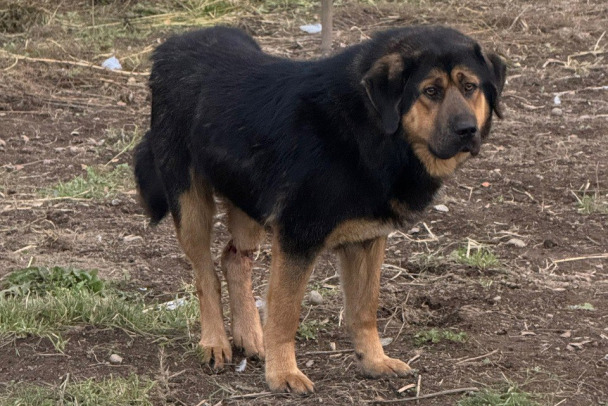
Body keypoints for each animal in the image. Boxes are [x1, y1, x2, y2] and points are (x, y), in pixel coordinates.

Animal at [135, 25, 506, 394]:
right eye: (430, 91)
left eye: (470, 87)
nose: (467, 130)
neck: (368, 127)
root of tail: (172, 45)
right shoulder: (297, 238)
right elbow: (285, 314)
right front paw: (283, 373)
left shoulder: (367, 240)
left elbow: (364, 310)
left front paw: (374, 361)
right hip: (190, 204)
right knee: (205, 275)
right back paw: (215, 343)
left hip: (247, 198)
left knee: (233, 259)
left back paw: (251, 337)